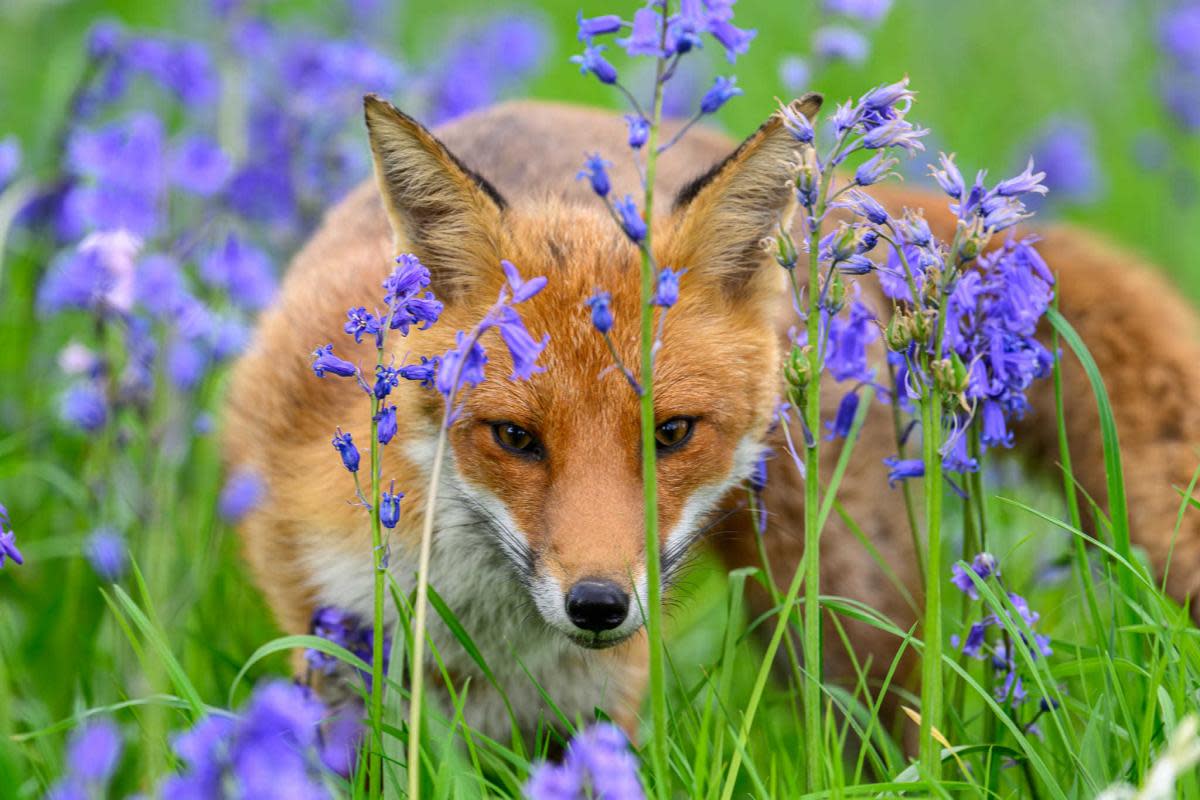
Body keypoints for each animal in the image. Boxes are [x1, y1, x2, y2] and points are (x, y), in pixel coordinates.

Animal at [220, 95, 1200, 743]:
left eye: (672, 434)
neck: (488, 629)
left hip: (835, 617)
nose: (599, 605)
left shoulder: (598, 704)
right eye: (514, 438)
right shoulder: (332, 643)